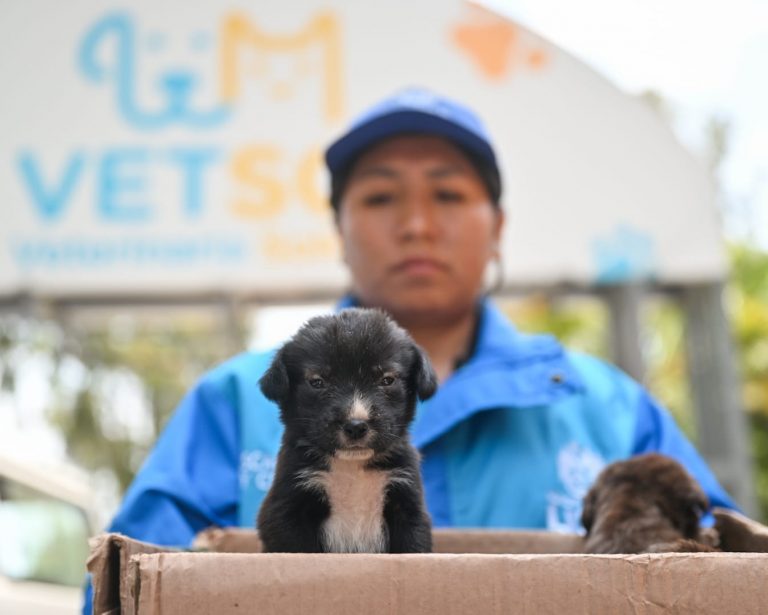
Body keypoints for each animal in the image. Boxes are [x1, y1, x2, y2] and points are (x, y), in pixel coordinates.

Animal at [258, 308, 438, 552]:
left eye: (387, 379)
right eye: (317, 382)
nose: (356, 426)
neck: (352, 467)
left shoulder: (408, 505)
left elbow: (413, 546)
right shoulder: (287, 508)